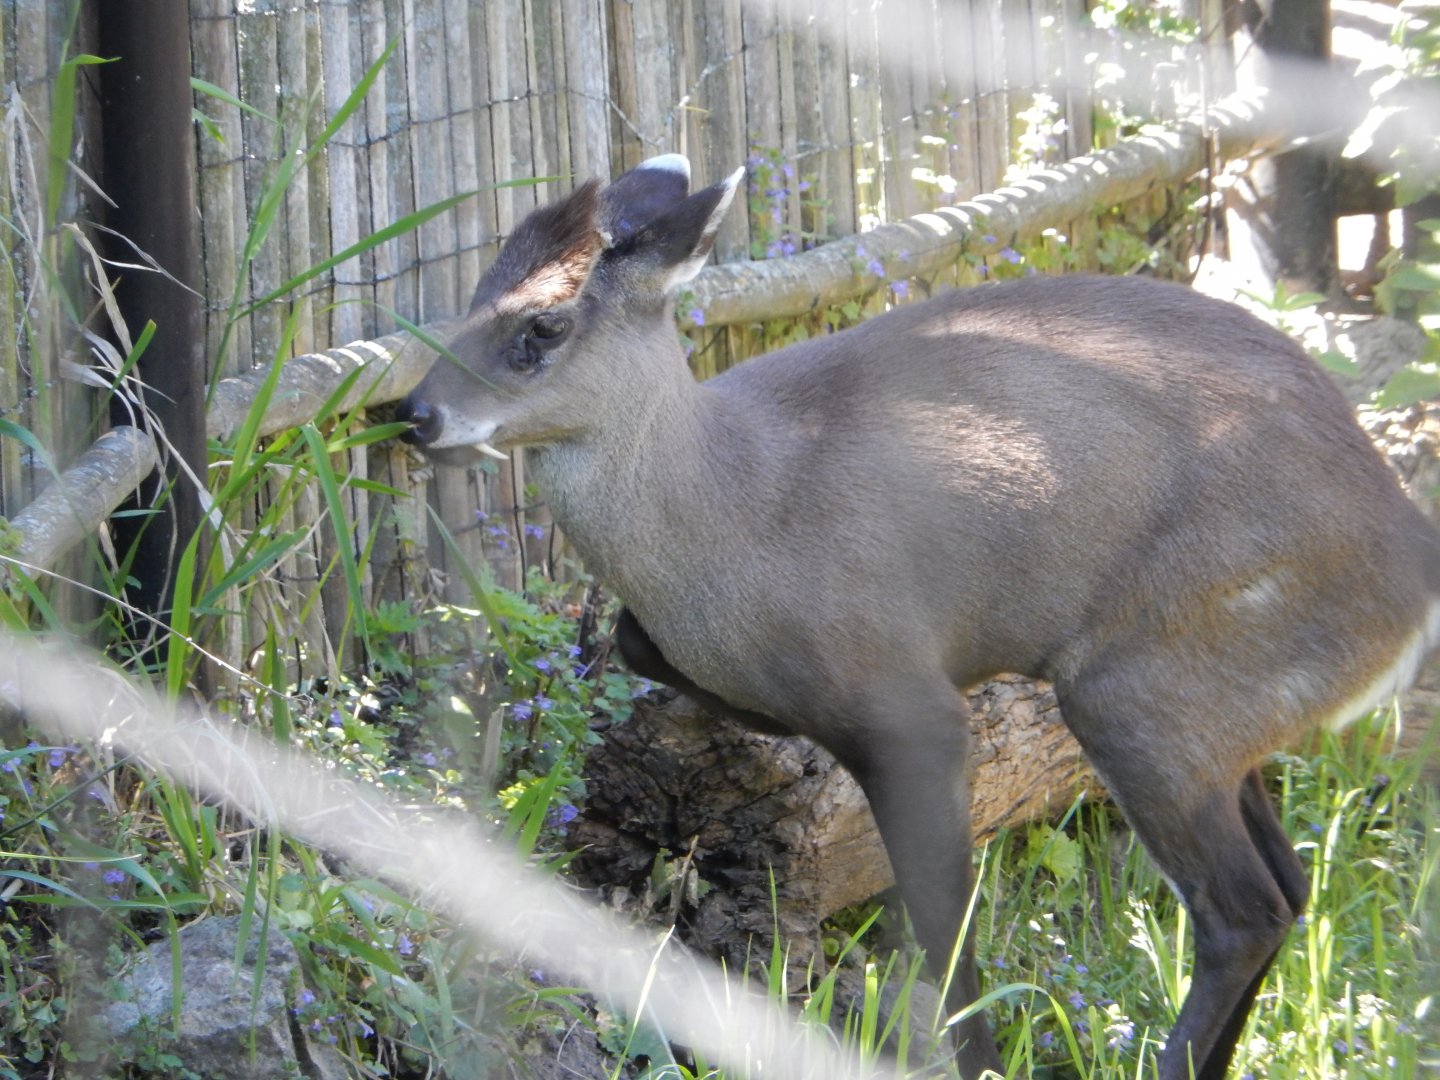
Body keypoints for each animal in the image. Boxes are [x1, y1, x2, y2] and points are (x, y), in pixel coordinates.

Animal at [396, 154, 1440, 1079]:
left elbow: (945, 939)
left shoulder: (908, 707)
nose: (414, 415)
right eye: (474, 289)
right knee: (1291, 886)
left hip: (1144, 685)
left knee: (1241, 910)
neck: (737, 517)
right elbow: (630, 637)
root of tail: (1411, 579)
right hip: (1220, 710)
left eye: (543, 325)